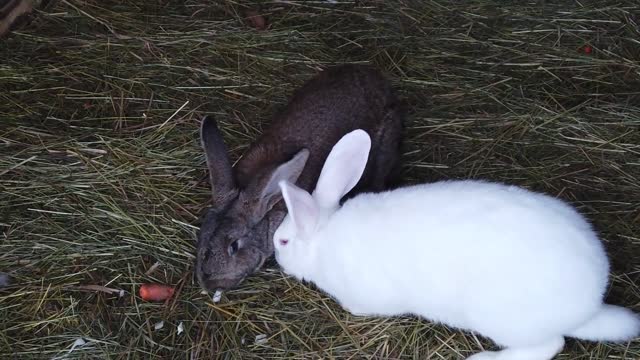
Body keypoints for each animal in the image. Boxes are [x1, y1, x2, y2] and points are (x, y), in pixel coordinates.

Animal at [272, 130, 636, 360]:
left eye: (284, 240)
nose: (275, 253)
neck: (325, 238)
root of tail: (588, 306)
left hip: (503, 320)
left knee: (549, 345)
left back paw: (482, 358)